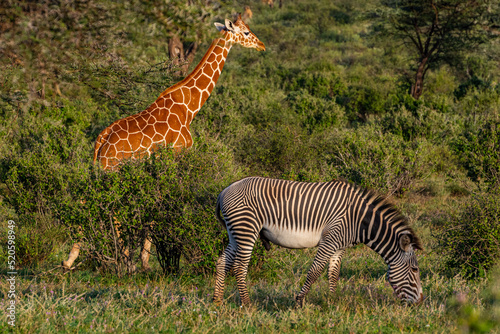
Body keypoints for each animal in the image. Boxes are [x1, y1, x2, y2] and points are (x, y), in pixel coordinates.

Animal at [213, 176, 424, 306]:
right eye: (415, 270)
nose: (421, 301)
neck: (359, 220)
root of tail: (224, 191)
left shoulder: (339, 246)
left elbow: (333, 273)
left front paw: (332, 301)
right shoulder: (329, 240)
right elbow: (314, 271)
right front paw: (299, 302)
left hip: (235, 232)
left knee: (223, 262)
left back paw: (218, 302)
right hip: (246, 229)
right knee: (239, 266)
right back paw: (248, 305)